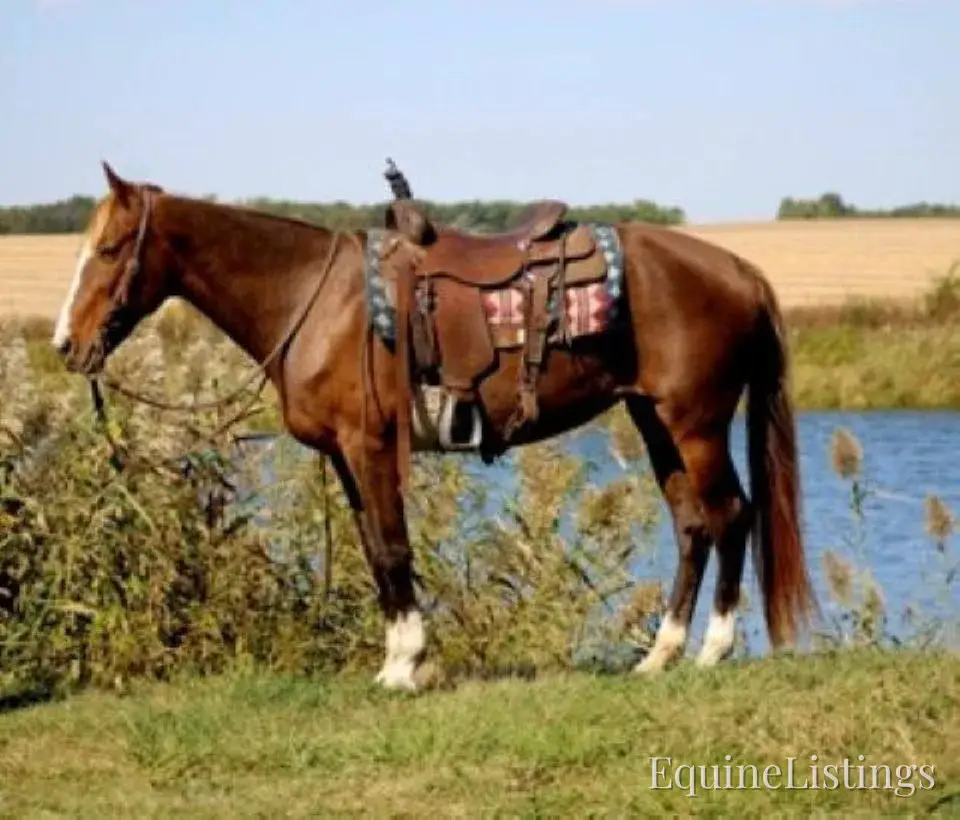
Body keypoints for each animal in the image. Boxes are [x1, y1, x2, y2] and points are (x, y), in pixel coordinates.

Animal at [51, 161, 815, 691]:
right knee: (692, 526)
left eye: (112, 248)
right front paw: (394, 659)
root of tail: (738, 269)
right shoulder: (344, 458)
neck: (315, 300)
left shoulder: (368, 447)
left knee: (730, 515)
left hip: (696, 424)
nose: (65, 344)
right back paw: (659, 656)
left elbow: (393, 549)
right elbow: (373, 550)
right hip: (655, 420)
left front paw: (404, 667)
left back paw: (712, 650)